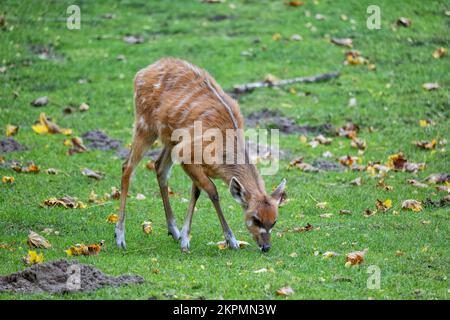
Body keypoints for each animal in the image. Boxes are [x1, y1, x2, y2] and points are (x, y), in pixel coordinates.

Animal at [115, 57, 284, 252]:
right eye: (255, 219)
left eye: (274, 221)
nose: (266, 247)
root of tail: (142, 72)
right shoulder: (187, 155)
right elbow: (212, 191)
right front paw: (231, 241)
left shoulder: (194, 161)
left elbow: (196, 192)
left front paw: (184, 237)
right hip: (145, 125)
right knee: (127, 167)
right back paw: (120, 237)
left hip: (170, 139)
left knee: (159, 167)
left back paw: (173, 231)